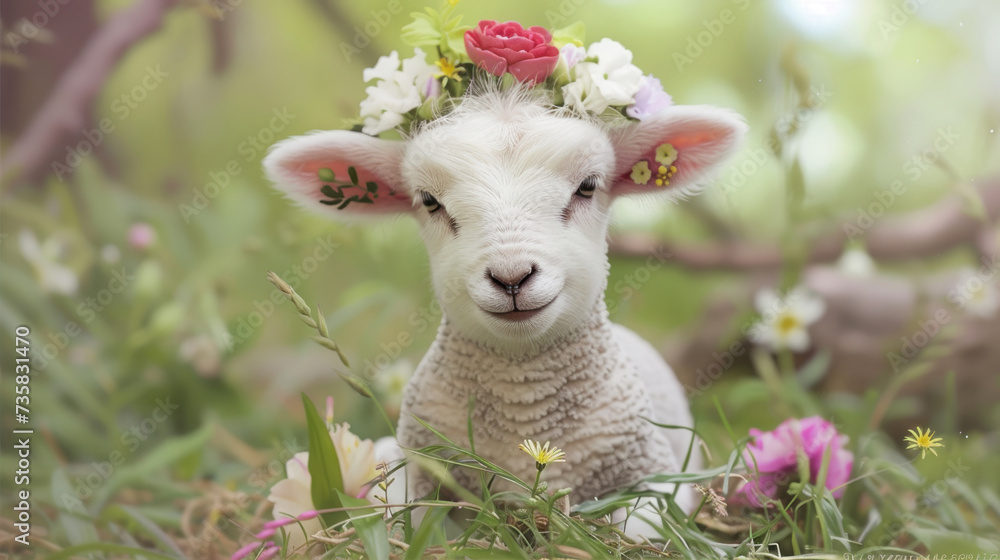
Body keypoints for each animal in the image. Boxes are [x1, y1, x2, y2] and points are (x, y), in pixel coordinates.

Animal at [264, 83, 746, 533]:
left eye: (588, 187)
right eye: (429, 201)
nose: (511, 277)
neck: (524, 400)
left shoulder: (655, 473)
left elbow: (642, 529)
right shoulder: (414, 460)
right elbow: (406, 521)